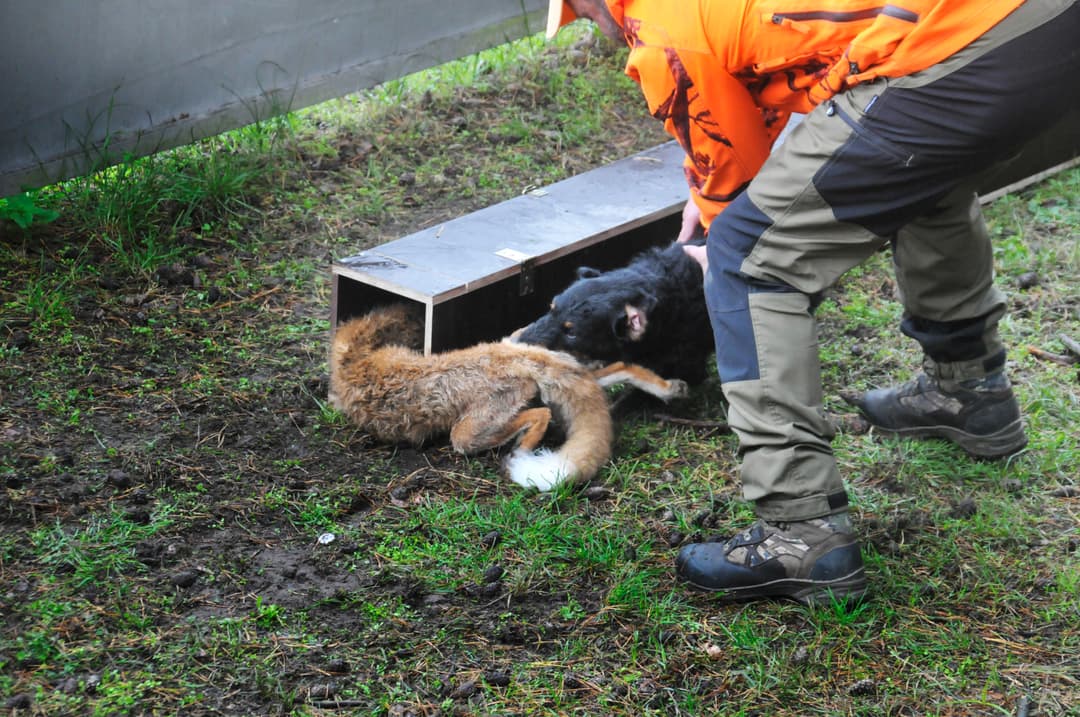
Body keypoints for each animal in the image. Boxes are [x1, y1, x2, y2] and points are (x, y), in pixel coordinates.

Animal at [326, 302, 682, 492]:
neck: (356, 360)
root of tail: (509, 357)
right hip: (554, 368)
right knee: (618, 367)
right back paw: (668, 388)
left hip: (467, 433)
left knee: (540, 416)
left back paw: (522, 451)